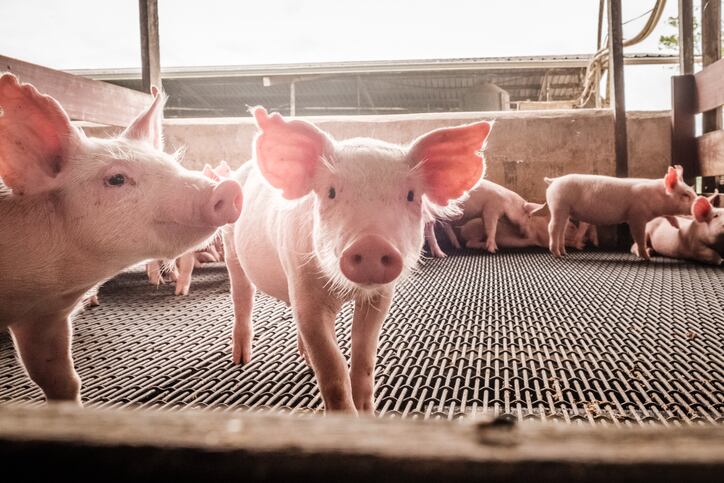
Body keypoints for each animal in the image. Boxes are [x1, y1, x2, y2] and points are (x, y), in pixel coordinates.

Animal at [223, 107, 491, 413]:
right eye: (330, 191)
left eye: (411, 195)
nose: (371, 243)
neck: (347, 291)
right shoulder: (303, 285)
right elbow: (332, 366)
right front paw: (345, 416)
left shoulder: (380, 296)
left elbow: (364, 355)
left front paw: (367, 411)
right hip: (230, 244)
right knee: (242, 295)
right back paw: (241, 359)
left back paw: (303, 360)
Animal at [544, 166, 696, 258]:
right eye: (686, 195)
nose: (699, 202)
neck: (657, 196)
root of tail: (554, 180)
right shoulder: (636, 214)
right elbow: (639, 236)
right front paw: (647, 258)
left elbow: (669, 215)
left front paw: (677, 226)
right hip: (559, 205)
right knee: (552, 227)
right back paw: (557, 254)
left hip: (566, 211)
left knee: (561, 230)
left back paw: (564, 253)